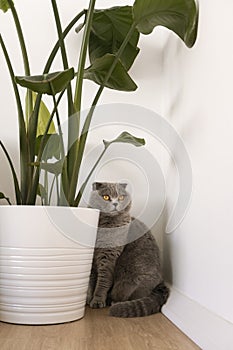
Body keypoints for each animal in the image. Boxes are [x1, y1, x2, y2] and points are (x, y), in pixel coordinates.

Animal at [86, 183, 168, 318]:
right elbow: (91, 280)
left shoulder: (108, 257)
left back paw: (113, 301)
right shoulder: (92, 259)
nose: (115, 204)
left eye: (121, 197)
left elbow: (103, 281)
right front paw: (88, 298)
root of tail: (161, 281)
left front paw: (97, 301)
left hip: (131, 283)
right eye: (106, 197)